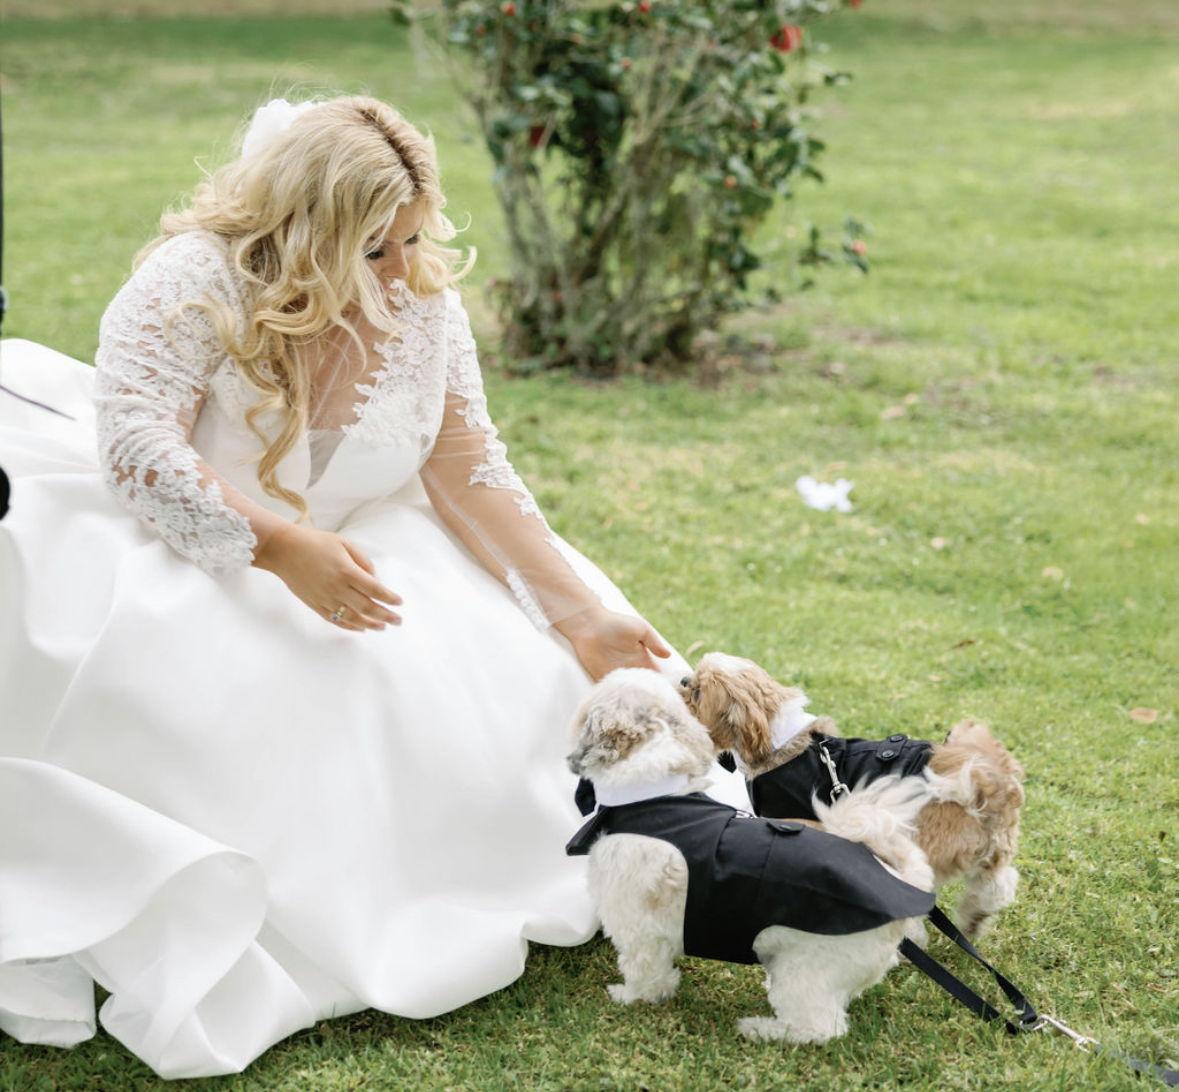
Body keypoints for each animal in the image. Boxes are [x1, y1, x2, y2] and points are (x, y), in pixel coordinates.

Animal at [566, 667, 937, 1044]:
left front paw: (632, 996)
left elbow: (644, 968)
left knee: (818, 1028)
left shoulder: (636, 923)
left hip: (806, 968)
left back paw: (761, 1029)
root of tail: (901, 880)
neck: (652, 797)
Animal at [679, 652, 1025, 939]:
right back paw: (974, 920)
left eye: (697, 693)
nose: (682, 681)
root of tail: (984, 786)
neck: (781, 742)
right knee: (997, 886)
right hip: (990, 853)